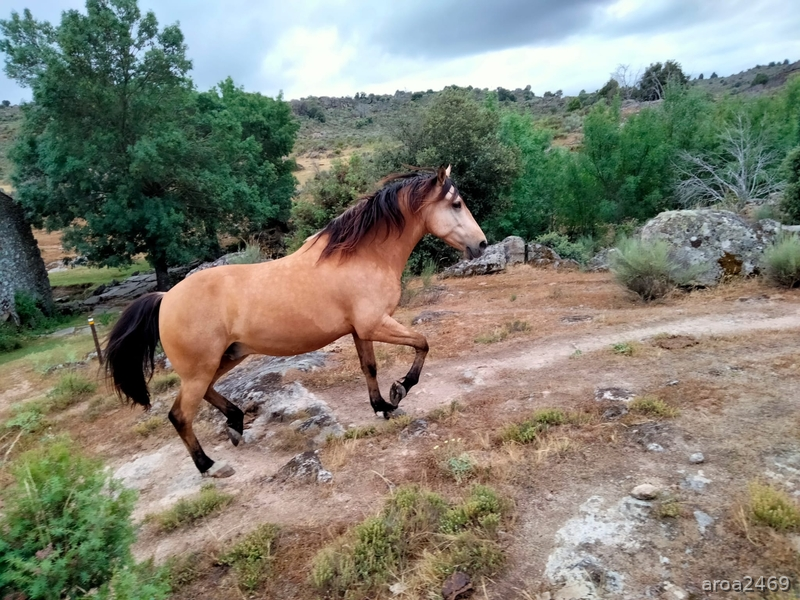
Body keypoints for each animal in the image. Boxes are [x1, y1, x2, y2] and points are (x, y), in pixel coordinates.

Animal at [105, 165, 487, 478]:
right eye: (456, 204)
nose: (482, 245)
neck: (363, 257)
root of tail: (165, 297)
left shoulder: (360, 331)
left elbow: (370, 367)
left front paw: (382, 407)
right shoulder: (375, 324)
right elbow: (422, 343)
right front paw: (400, 390)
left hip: (226, 356)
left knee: (205, 395)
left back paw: (235, 423)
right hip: (202, 367)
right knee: (180, 415)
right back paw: (210, 466)